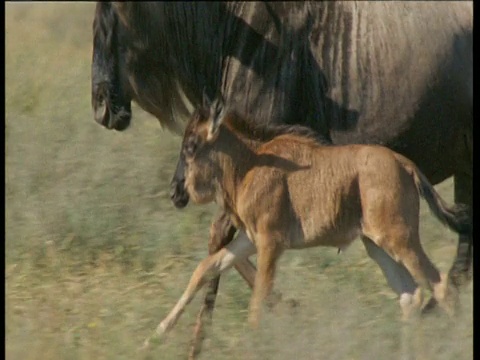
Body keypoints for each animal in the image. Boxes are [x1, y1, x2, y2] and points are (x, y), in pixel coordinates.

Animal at [142, 96, 468, 346]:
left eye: (191, 145)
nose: (175, 193)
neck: (249, 163)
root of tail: (405, 164)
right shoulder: (249, 238)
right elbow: (205, 269)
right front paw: (154, 337)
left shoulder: (271, 243)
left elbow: (257, 301)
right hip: (377, 246)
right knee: (410, 296)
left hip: (400, 240)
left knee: (441, 286)